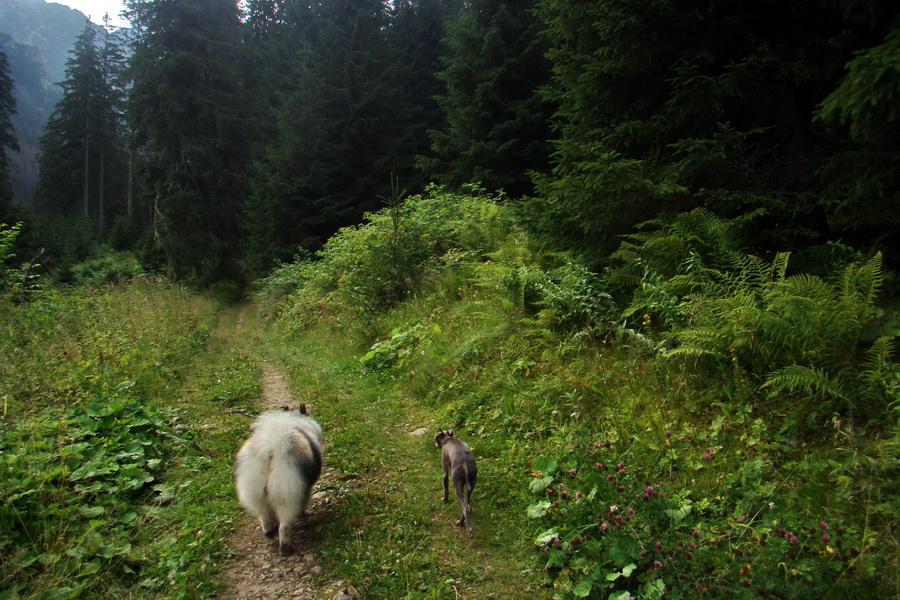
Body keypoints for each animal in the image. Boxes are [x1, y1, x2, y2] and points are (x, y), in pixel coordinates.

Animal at [236, 406, 324, 556]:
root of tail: (271, 449)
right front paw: (302, 514)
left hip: (255, 491)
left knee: (264, 515)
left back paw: (269, 532)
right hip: (286, 494)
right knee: (284, 526)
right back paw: (285, 548)